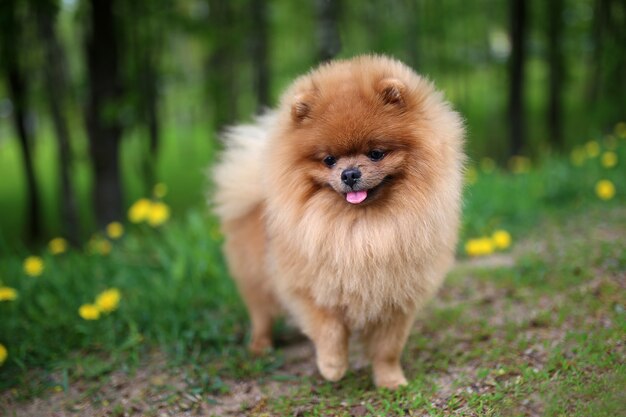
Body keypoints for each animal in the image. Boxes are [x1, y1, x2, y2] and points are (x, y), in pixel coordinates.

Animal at [212, 54, 460, 386]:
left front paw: (390, 381)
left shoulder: (396, 298)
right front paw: (332, 366)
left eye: (376, 153)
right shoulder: (310, 289)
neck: (360, 229)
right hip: (256, 277)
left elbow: (387, 348)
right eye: (329, 159)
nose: (350, 173)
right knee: (261, 315)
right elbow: (328, 330)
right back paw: (260, 346)